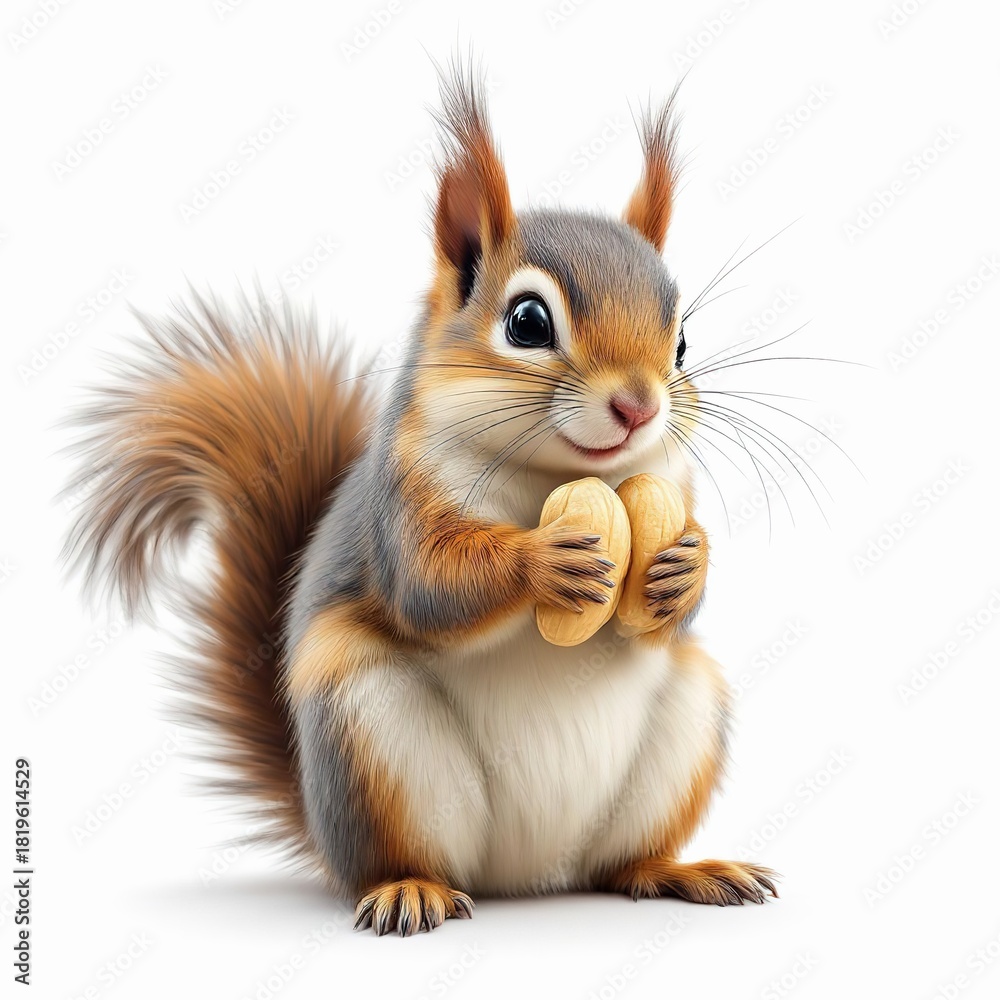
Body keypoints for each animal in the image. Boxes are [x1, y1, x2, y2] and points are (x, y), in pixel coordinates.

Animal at [64, 66, 778, 936]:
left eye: (682, 343)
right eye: (527, 321)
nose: (639, 405)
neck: (552, 475)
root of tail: (528, 878)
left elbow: (671, 610)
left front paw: (685, 564)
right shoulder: (400, 504)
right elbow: (432, 585)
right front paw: (543, 560)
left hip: (683, 723)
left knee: (620, 865)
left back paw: (682, 870)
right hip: (367, 730)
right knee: (400, 856)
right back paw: (410, 889)